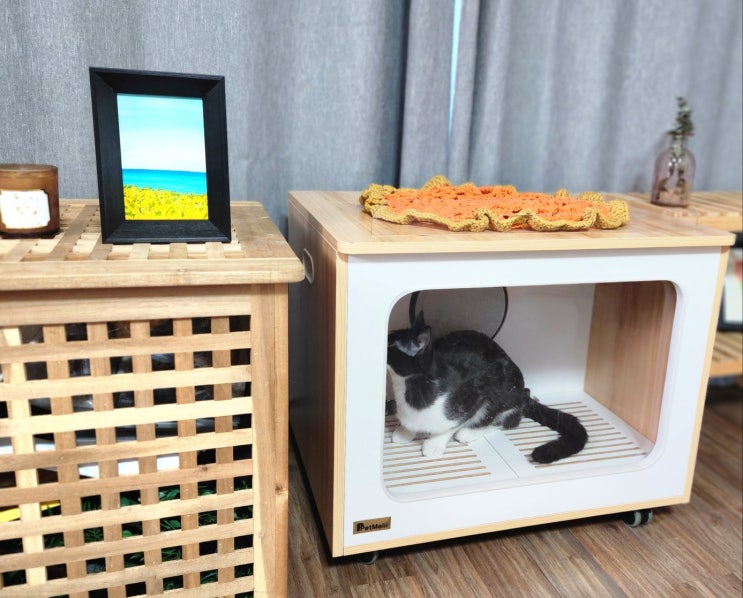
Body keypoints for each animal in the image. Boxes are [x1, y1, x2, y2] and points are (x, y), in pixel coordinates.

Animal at [386, 312, 588, 462]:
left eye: (390, 344)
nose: (384, 339)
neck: (405, 387)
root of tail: (525, 395)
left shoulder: (475, 397)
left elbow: (452, 425)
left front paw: (434, 444)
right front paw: (405, 431)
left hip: (506, 394)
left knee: (508, 420)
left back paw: (469, 432)